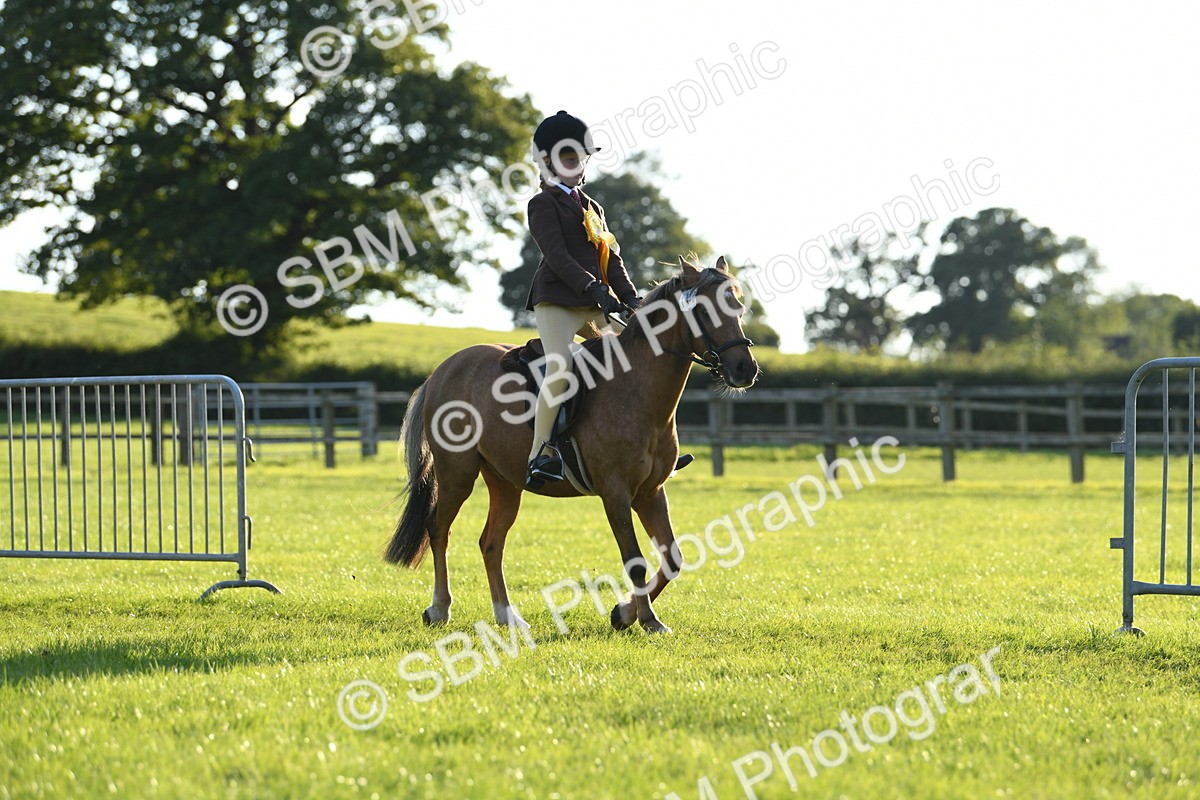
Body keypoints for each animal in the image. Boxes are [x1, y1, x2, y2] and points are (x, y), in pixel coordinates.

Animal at [383, 255, 760, 633]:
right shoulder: (615, 492)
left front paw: (625, 613)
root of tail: (442, 371)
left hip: (505, 482)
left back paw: (508, 616)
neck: (638, 391)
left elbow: (672, 558)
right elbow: (635, 560)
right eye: (704, 310)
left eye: (739, 309)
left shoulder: (651, 492)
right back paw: (439, 608)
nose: (745, 369)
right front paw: (646, 620)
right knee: (439, 530)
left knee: (491, 543)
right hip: (457, 474)